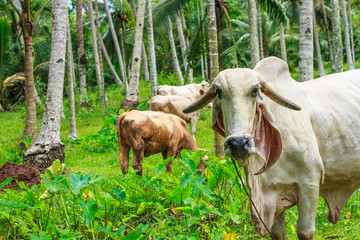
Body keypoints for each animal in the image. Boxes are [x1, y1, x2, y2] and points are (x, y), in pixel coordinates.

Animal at [184, 57, 360, 239]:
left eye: (255, 90)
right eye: (218, 92)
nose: (238, 143)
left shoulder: (310, 182)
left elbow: (305, 231)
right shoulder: (270, 197)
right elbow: (278, 233)